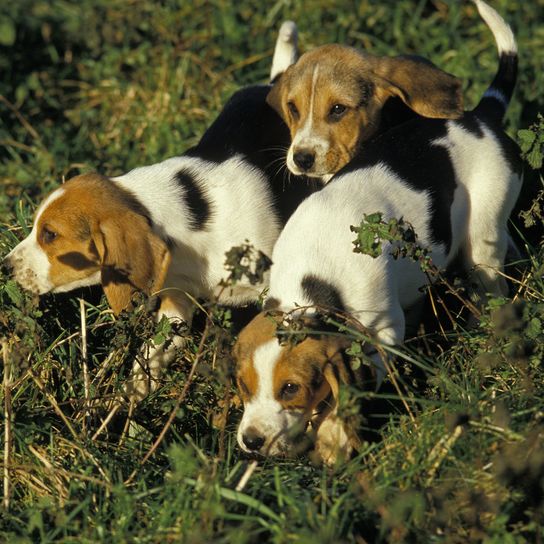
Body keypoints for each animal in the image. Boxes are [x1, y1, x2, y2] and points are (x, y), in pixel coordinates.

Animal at [3, 21, 318, 402]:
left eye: (50, 235)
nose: (5, 267)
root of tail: (276, 81)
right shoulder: (176, 302)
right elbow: (151, 357)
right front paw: (122, 405)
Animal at [234, 0, 524, 464]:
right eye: (244, 386)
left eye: (291, 388)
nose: (251, 441)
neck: (313, 283)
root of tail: (480, 116)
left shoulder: (385, 334)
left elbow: (350, 390)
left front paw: (334, 436)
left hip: (484, 240)